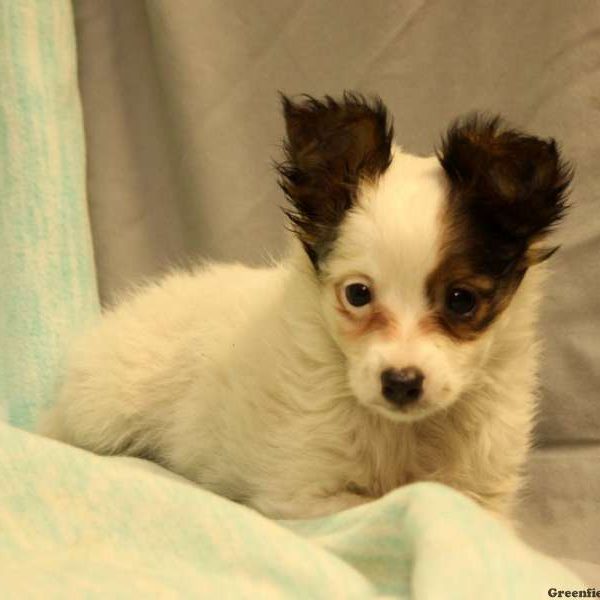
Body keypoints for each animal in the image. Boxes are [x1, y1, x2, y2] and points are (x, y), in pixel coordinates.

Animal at [39, 94, 576, 520]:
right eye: (358, 294)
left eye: (461, 300)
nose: (401, 382)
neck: (402, 434)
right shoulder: (304, 488)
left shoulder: (483, 491)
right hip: (101, 410)